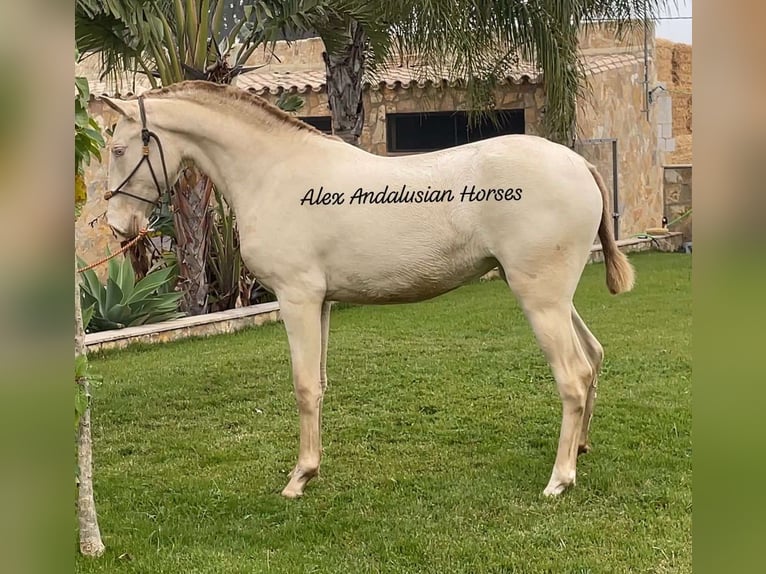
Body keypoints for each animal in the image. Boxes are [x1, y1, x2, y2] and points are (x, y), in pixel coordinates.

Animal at [100, 81, 636, 500]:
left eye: (119, 149)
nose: (116, 225)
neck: (274, 173)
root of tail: (580, 165)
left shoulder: (296, 300)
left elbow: (303, 386)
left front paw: (298, 479)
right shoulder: (320, 304)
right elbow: (319, 384)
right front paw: (311, 470)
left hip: (540, 299)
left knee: (572, 375)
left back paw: (560, 478)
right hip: (552, 298)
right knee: (593, 358)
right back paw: (580, 450)